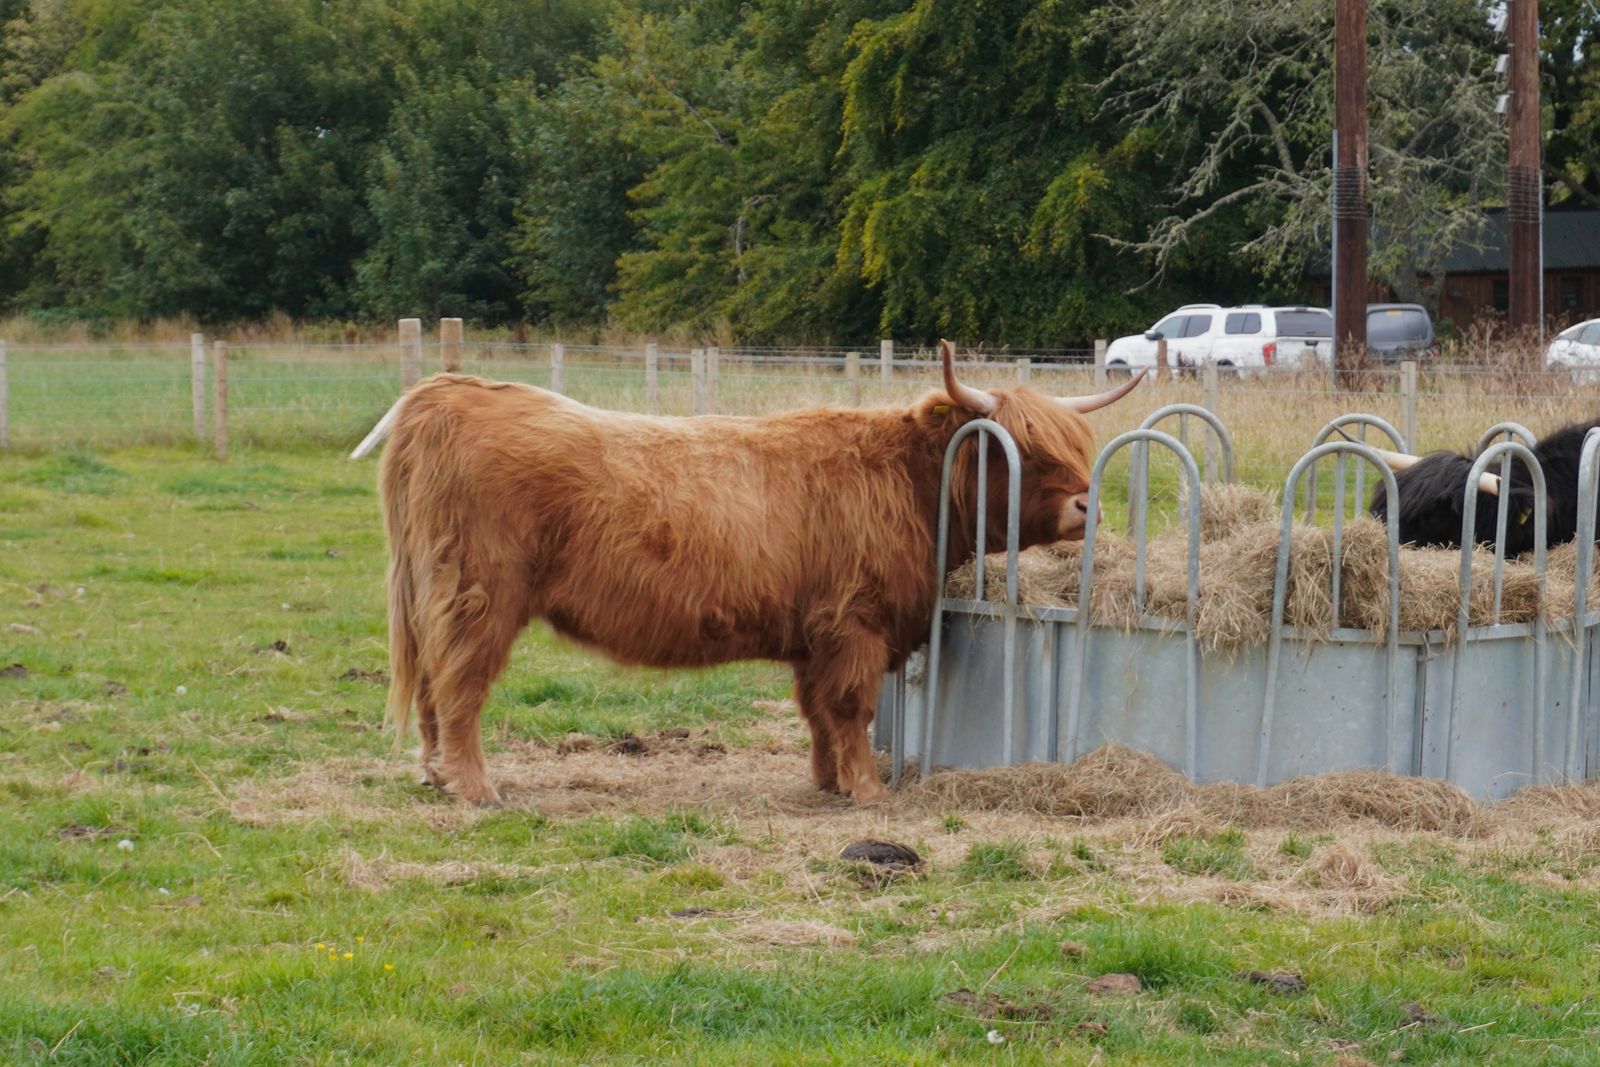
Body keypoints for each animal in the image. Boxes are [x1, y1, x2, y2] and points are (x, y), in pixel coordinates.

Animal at [355, 343, 1147, 805]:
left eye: (1078, 445)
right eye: (1022, 450)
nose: (1089, 503)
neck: (909, 484)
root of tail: (447, 392)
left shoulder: (814, 634)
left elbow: (818, 713)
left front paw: (827, 781)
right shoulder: (855, 623)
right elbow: (852, 708)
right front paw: (869, 792)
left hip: (431, 593)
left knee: (430, 686)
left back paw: (434, 773)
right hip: (478, 595)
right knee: (458, 687)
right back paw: (473, 787)